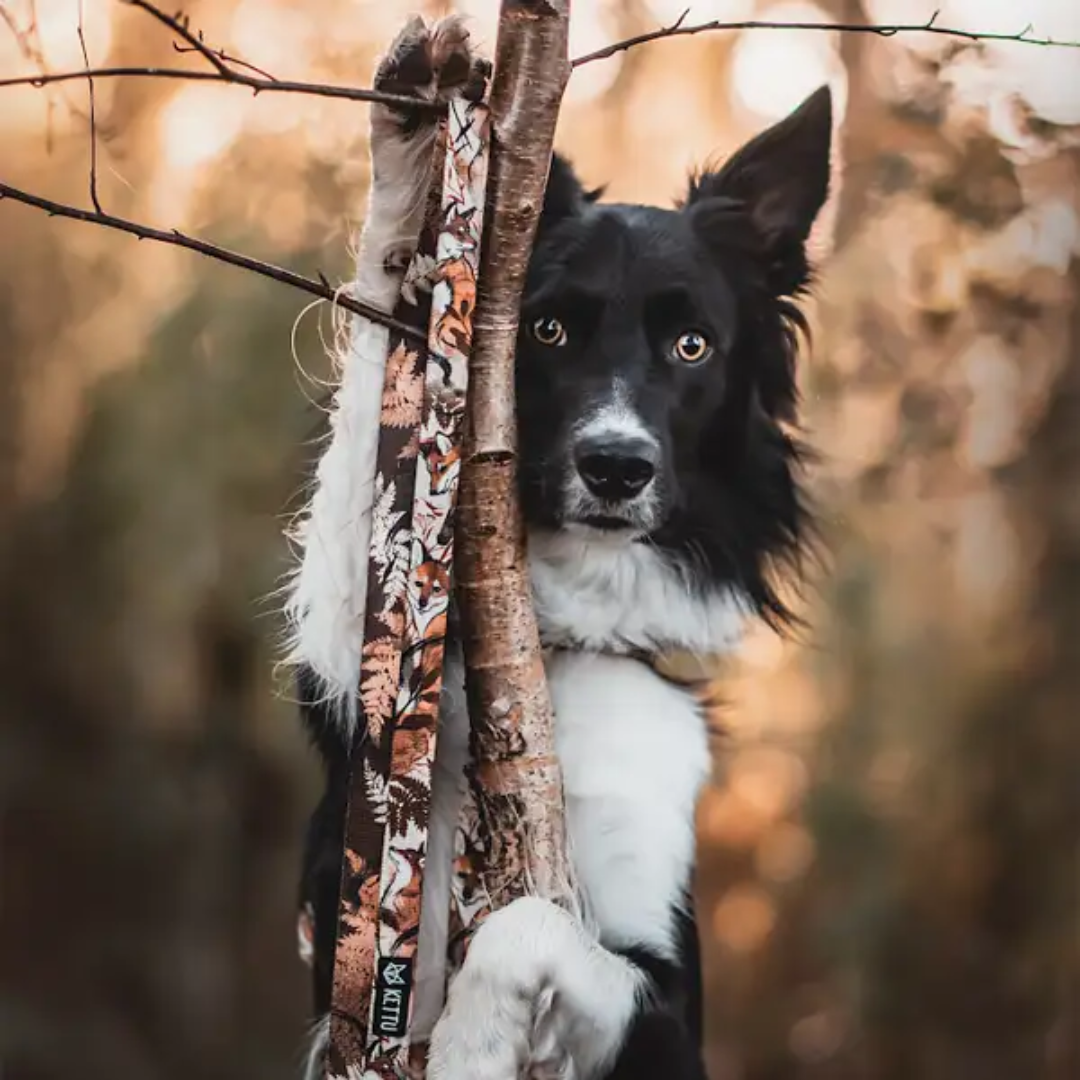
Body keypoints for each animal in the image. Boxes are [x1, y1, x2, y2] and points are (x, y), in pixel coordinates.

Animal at [282, 14, 829, 1080]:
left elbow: (527, 927)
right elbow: (382, 420)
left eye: (693, 347)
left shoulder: (668, 1000)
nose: (616, 468)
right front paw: (412, 153)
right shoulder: (360, 761)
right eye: (546, 330)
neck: (560, 644)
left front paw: (470, 1044)